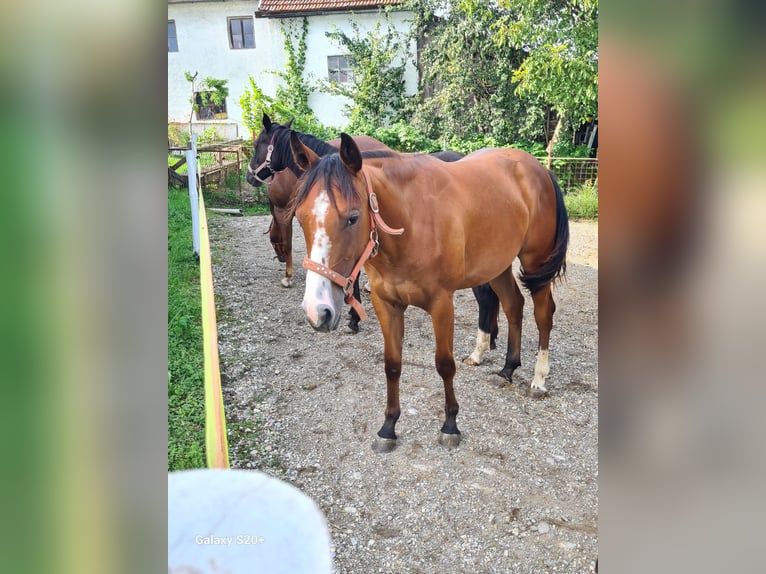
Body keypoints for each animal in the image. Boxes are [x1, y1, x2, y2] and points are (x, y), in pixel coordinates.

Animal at [292, 134, 568, 454]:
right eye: (300, 217)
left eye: (352, 217)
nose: (318, 311)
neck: (411, 221)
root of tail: (539, 170)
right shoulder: (386, 304)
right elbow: (392, 365)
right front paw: (388, 427)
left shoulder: (441, 304)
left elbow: (444, 365)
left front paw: (450, 425)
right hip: (497, 265)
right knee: (513, 305)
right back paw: (507, 369)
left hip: (535, 263)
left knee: (543, 314)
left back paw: (538, 379)